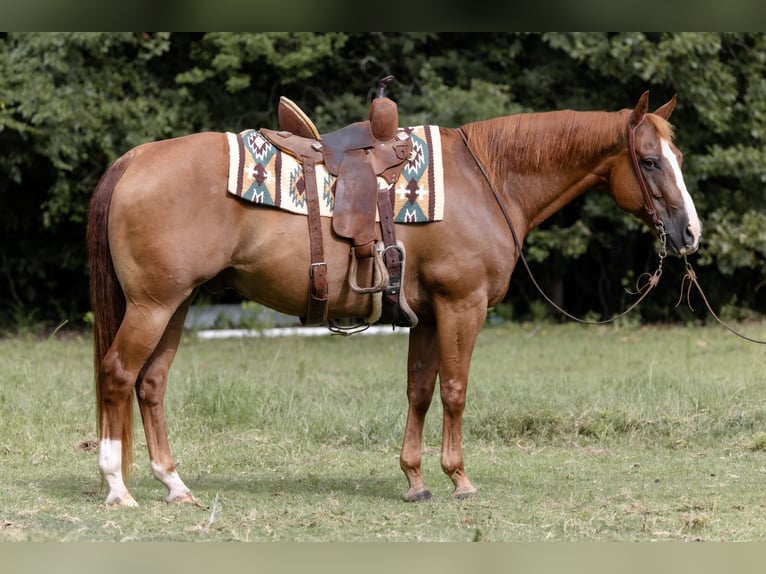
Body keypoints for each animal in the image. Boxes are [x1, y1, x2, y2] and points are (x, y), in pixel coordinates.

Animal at [86, 91, 701, 507]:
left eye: (678, 158)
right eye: (650, 161)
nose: (690, 233)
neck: (488, 179)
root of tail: (134, 159)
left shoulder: (426, 317)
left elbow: (420, 393)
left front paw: (415, 479)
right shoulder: (461, 306)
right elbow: (454, 391)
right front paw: (459, 478)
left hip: (178, 304)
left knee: (150, 384)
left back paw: (174, 484)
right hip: (154, 305)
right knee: (118, 374)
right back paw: (118, 486)